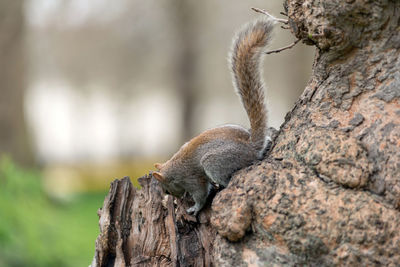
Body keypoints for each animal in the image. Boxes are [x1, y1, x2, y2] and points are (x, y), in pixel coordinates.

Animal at [153, 17, 276, 217]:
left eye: (166, 190)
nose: (177, 198)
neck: (173, 168)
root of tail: (250, 147)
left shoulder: (192, 179)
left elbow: (201, 194)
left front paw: (194, 208)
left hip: (214, 163)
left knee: (228, 178)